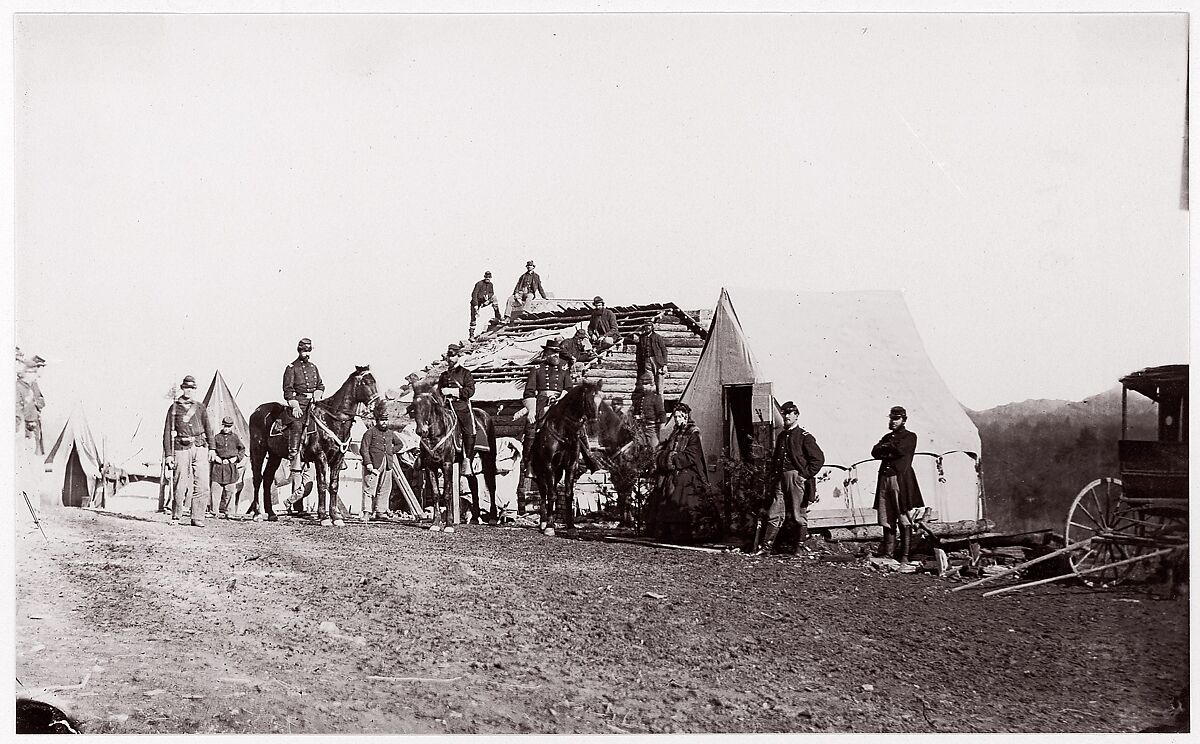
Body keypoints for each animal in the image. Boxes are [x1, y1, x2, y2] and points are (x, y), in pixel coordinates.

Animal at [243, 367, 374, 523]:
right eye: (366, 382)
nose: (377, 404)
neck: (332, 420)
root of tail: (257, 411)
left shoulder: (338, 458)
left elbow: (334, 485)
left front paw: (335, 516)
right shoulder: (320, 457)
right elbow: (322, 484)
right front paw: (323, 516)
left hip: (275, 455)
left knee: (268, 479)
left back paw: (271, 513)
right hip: (258, 450)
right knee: (257, 478)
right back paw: (257, 513)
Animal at [405, 384, 494, 528]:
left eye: (428, 406)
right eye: (414, 407)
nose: (421, 431)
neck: (436, 434)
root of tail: (485, 415)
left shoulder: (447, 464)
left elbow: (447, 493)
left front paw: (449, 524)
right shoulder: (430, 466)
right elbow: (436, 493)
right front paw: (436, 523)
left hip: (488, 457)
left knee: (491, 484)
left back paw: (493, 518)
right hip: (467, 462)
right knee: (473, 482)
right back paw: (475, 517)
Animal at [528, 384, 604, 535]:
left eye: (601, 400)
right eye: (588, 400)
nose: (594, 426)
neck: (564, 432)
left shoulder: (571, 466)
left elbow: (568, 494)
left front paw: (571, 526)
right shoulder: (549, 465)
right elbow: (552, 495)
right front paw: (550, 526)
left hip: (557, 473)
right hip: (540, 472)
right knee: (544, 493)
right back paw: (543, 522)